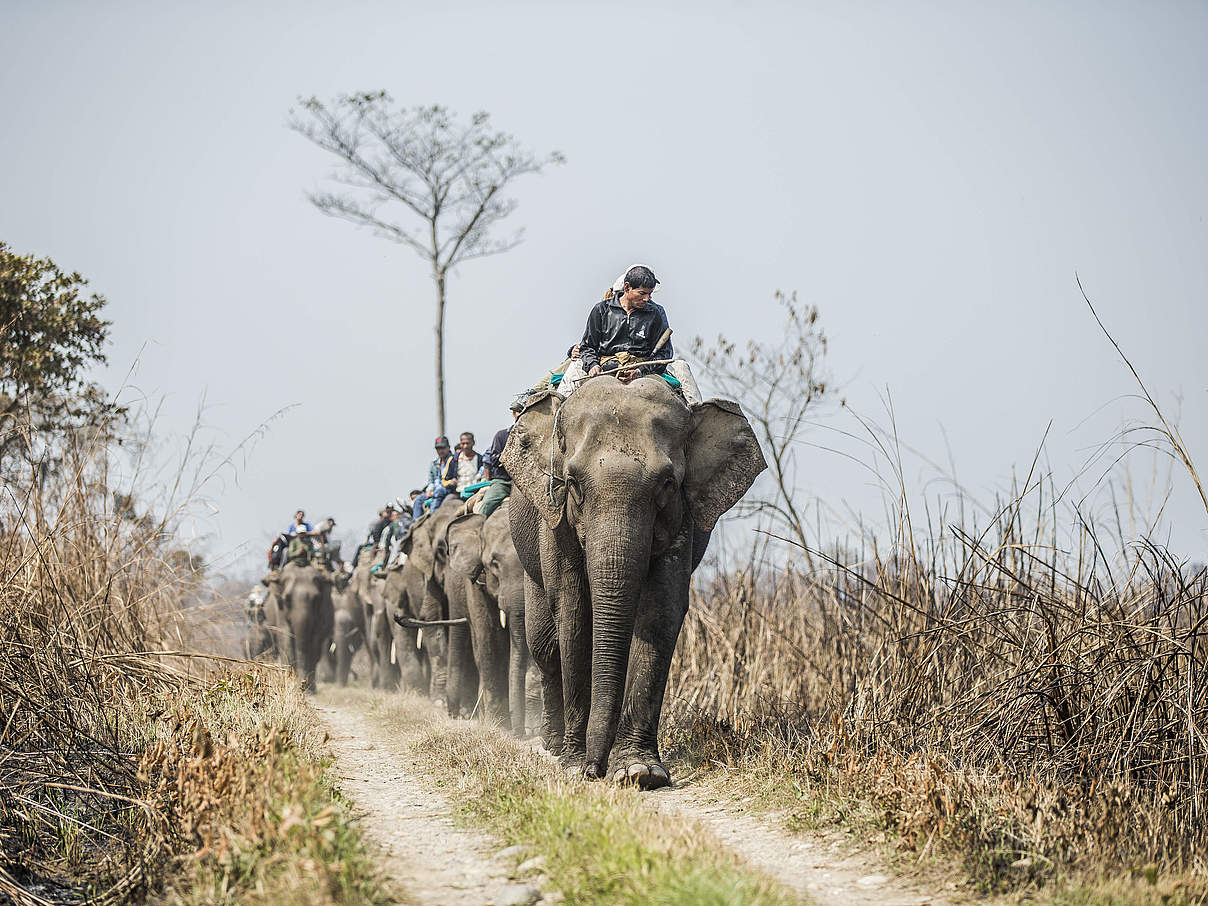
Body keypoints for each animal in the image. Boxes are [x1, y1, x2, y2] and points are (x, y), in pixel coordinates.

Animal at [500, 379, 763, 792]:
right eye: (572, 483)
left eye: (668, 484)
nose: (595, 771)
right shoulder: (554, 520)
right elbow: (574, 611)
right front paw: (573, 766)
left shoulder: (684, 517)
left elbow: (661, 610)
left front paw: (640, 773)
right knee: (545, 645)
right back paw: (553, 749)